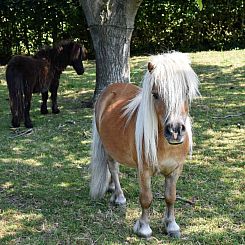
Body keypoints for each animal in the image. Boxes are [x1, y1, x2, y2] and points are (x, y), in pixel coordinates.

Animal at [90, 51, 199, 237]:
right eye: (155, 94)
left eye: (186, 92)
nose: (175, 131)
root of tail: (109, 90)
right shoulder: (144, 171)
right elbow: (146, 199)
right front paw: (144, 228)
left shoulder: (175, 170)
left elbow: (171, 197)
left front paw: (171, 225)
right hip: (108, 149)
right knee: (113, 168)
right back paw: (119, 196)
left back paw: (111, 189)